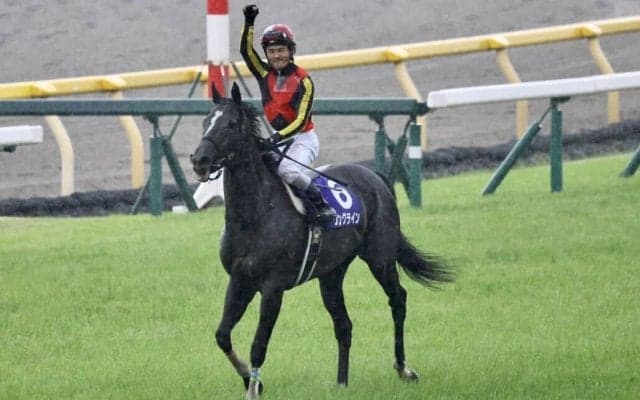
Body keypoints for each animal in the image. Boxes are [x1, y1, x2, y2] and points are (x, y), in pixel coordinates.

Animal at [190, 82, 453, 399]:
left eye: (230, 124)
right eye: (205, 122)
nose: (199, 160)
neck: (255, 214)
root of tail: (374, 175)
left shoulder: (272, 288)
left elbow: (258, 345)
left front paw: (253, 389)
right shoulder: (241, 280)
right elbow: (222, 335)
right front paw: (252, 382)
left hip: (379, 257)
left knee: (398, 299)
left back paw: (404, 369)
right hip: (331, 273)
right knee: (344, 324)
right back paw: (341, 382)